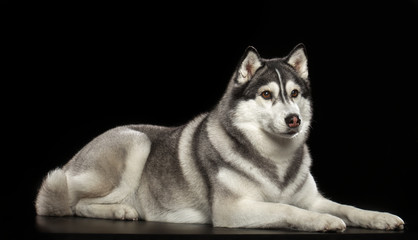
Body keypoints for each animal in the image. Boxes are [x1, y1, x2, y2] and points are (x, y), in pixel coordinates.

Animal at [36, 44, 404, 232]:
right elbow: (287, 208)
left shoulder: (311, 198)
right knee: (73, 205)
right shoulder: (232, 211)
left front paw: (379, 217)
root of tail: (73, 159)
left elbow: (348, 207)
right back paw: (121, 211)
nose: (294, 119)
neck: (276, 160)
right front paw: (324, 221)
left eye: (295, 93)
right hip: (135, 142)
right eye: (267, 94)